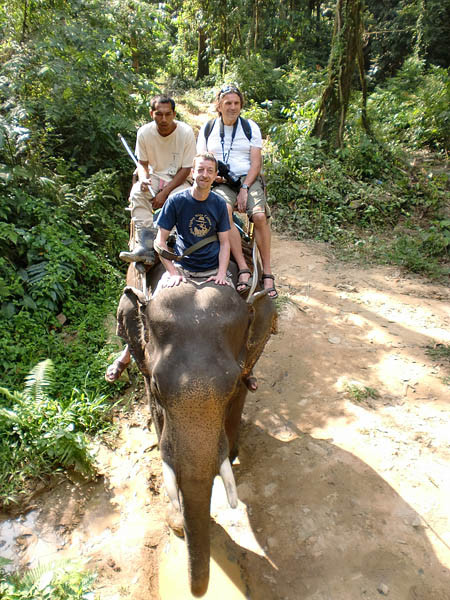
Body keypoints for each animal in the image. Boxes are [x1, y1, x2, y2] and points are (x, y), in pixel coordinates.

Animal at [116, 264, 276, 596]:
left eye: (230, 388)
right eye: (157, 388)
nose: (196, 591)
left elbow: (240, 396)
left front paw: (231, 455)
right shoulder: (147, 366)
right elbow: (158, 419)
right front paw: (177, 521)